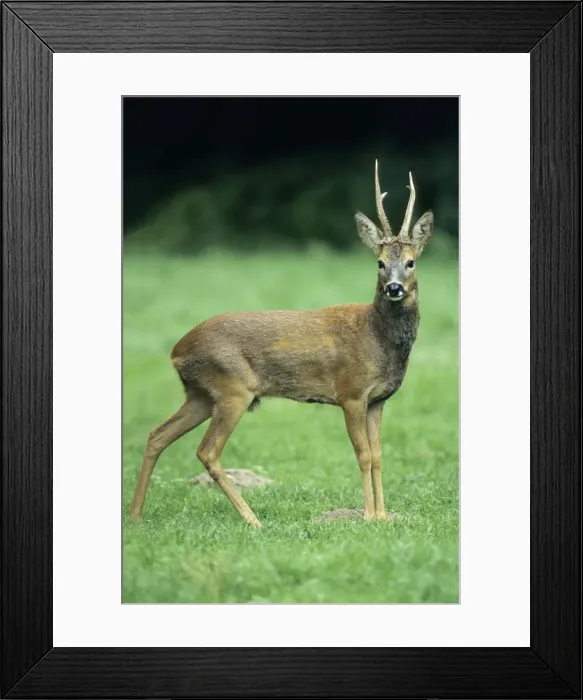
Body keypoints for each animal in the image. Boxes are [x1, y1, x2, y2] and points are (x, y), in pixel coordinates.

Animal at [129, 161, 434, 528]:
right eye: (379, 262)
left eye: (411, 262)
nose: (394, 288)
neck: (377, 338)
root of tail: (176, 351)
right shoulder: (350, 393)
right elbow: (362, 454)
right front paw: (369, 516)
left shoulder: (377, 400)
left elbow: (377, 455)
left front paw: (384, 516)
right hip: (232, 388)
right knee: (207, 451)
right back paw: (253, 520)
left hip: (201, 394)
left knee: (157, 435)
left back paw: (134, 515)